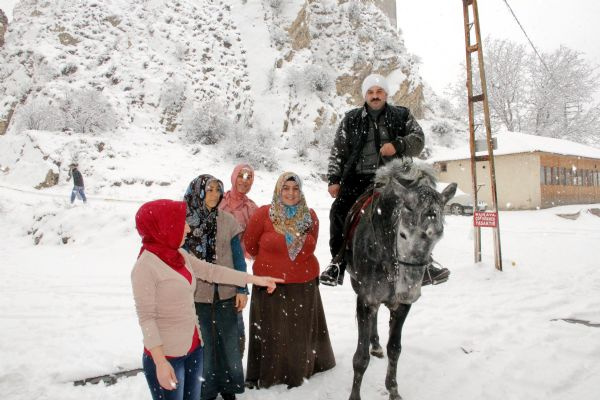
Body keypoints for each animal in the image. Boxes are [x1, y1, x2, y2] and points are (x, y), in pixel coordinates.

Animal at [344, 159, 458, 400]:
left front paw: (393, 389)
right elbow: (360, 358)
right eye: (403, 234)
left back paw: (376, 344)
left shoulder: (403, 306)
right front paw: (355, 395)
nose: (408, 291)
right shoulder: (365, 300)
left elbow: (395, 349)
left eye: (438, 236)